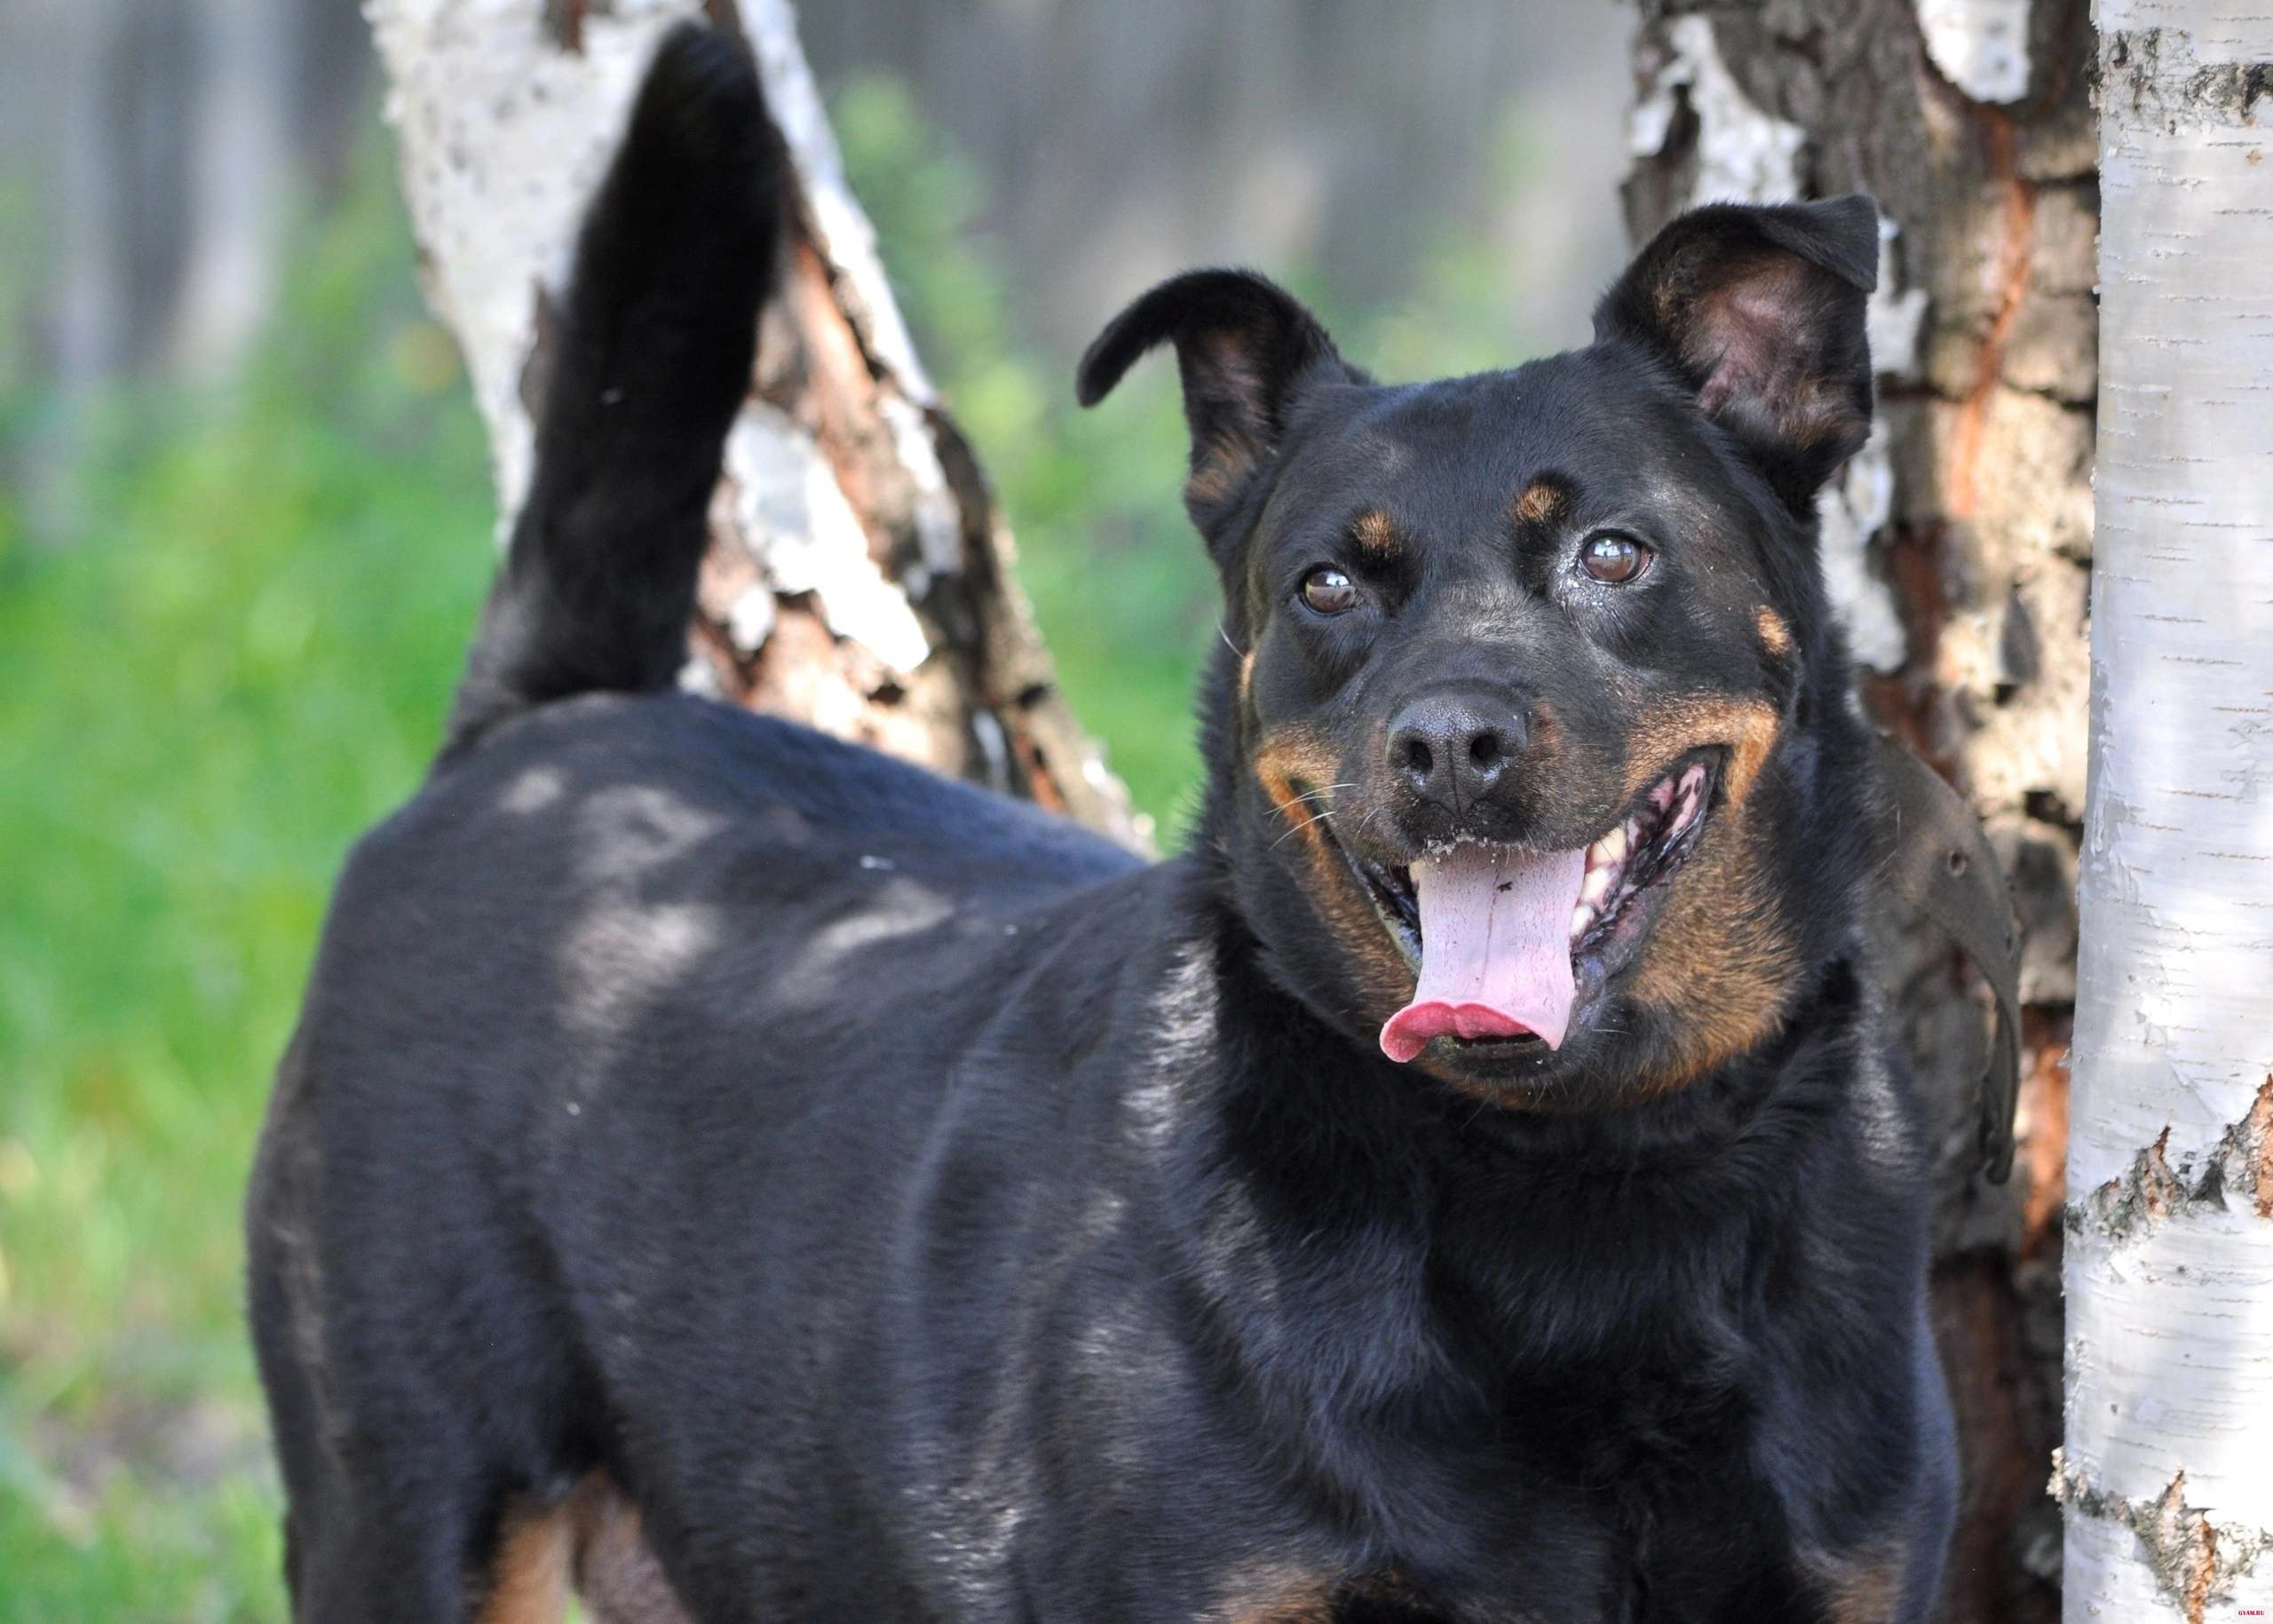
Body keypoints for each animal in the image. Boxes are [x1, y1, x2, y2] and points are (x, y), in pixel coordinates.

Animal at [248, 24, 1994, 1622]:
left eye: (1616, 554)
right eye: (1328, 584)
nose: (1446, 744)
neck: (1578, 1187)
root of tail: (541, 726)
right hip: (406, 1515)